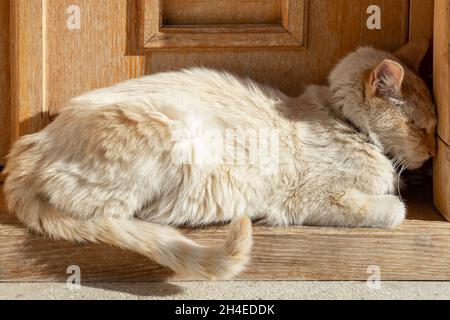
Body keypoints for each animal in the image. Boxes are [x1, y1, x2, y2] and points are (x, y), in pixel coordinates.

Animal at [3, 40, 436, 280]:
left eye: (434, 126)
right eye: (420, 127)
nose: (434, 152)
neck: (343, 121)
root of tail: (33, 143)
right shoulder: (309, 198)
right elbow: (393, 210)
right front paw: (392, 203)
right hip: (170, 132)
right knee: (109, 214)